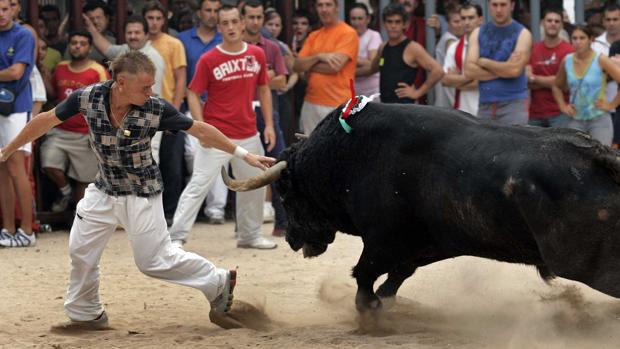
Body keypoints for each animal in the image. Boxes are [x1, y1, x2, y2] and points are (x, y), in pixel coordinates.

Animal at [223, 102, 620, 312]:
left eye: (285, 192)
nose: (291, 239)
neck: (351, 156)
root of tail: (599, 156)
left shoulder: (383, 240)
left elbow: (364, 277)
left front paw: (370, 311)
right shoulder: (427, 245)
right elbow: (394, 278)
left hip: (584, 264)